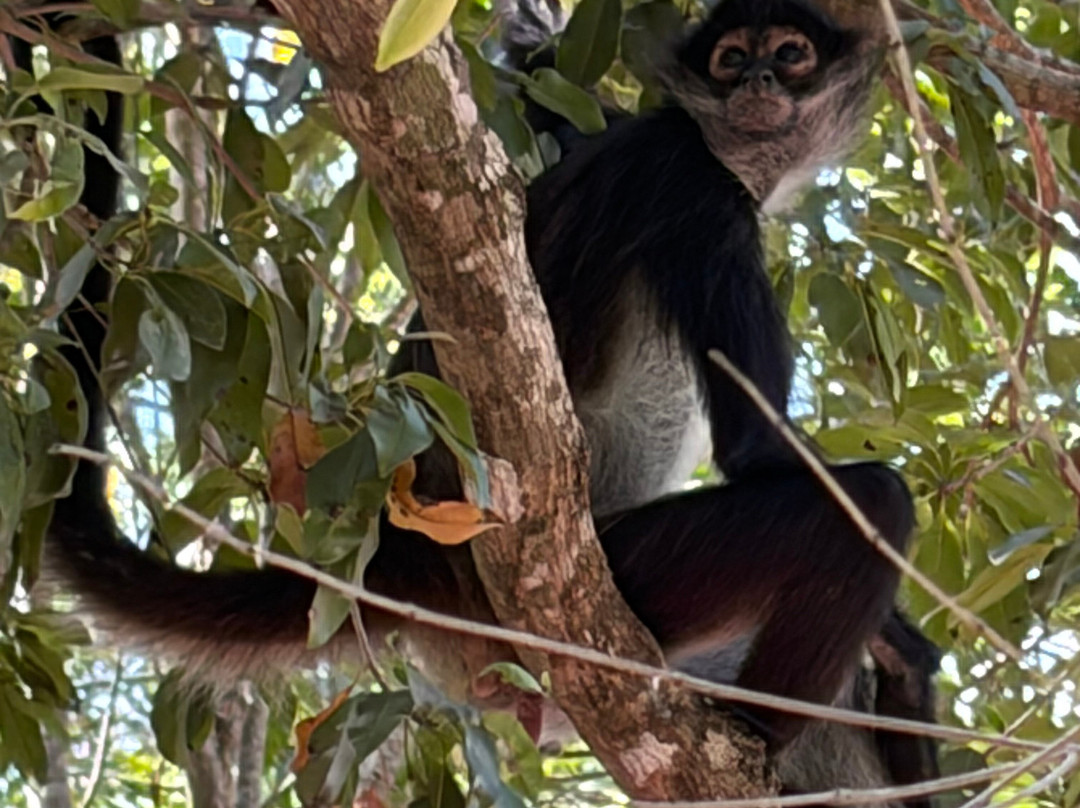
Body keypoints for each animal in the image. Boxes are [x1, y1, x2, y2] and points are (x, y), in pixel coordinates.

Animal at [17, 0, 939, 802]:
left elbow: (533, 82)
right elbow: (759, 448)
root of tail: (408, 553)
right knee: (871, 503)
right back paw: (755, 736)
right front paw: (901, 643)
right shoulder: (689, 175)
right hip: (612, 586)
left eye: (790, 53)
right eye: (731, 58)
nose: (759, 82)